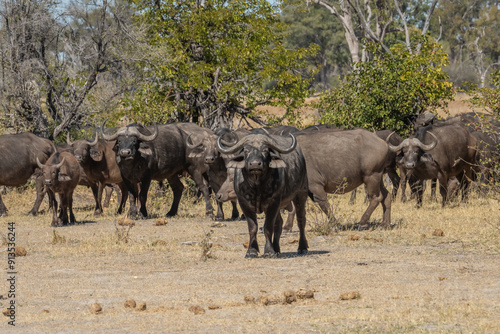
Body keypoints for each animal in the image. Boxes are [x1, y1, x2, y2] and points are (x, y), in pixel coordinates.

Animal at [218, 129, 308, 258]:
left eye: (265, 150)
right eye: (246, 150)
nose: (255, 164)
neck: (257, 186)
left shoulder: (273, 202)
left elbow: (268, 227)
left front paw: (269, 251)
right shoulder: (244, 203)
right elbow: (253, 227)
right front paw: (251, 251)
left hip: (301, 193)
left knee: (301, 220)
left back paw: (302, 248)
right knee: (279, 223)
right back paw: (276, 249)